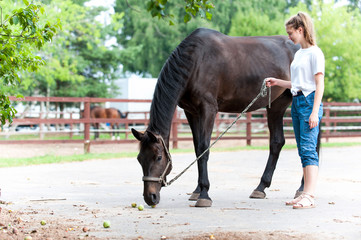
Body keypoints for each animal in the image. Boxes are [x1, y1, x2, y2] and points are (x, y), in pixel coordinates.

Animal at [132, 28, 316, 207]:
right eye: (139, 159)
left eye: (158, 157)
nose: (150, 197)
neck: (196, 62)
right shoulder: (191, 112)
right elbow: (197, 148)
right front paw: (197, 191)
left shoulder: (208, 109)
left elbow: (203, 148)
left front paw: (204, 195)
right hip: (276, 106)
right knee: (277, 142)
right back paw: (261, 188)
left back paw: (301, 188)